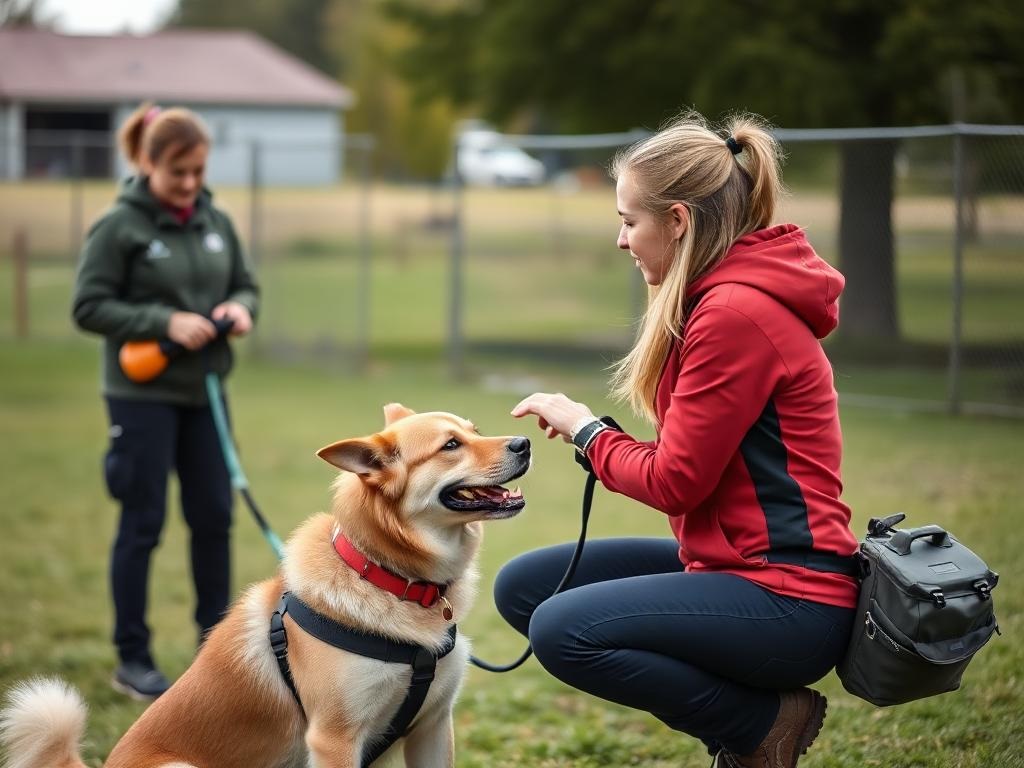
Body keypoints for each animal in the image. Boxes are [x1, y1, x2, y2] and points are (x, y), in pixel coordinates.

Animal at [0, 405, 528, 765]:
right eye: (450, 446)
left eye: (476, 431)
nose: (525, 442)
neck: (392, 577)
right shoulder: (333, 738)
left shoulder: (433, 727)